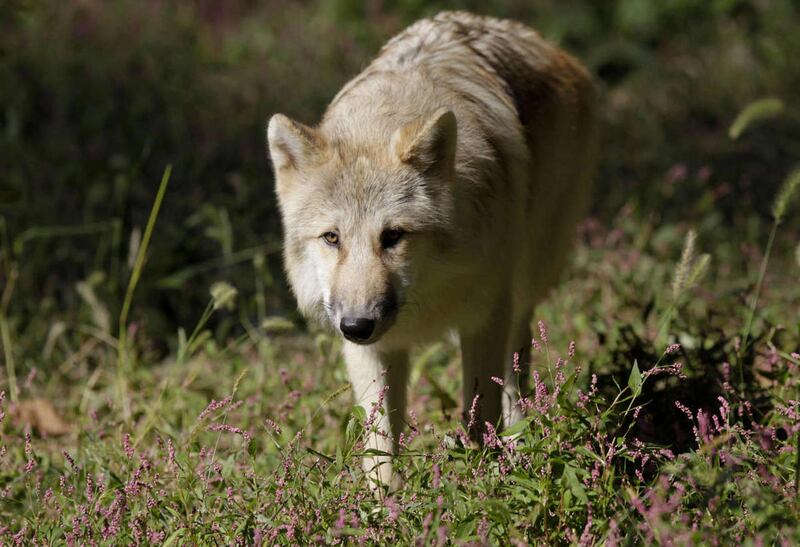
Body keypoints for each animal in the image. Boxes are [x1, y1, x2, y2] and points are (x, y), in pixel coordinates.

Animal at [267, 11, 597, 486]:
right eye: (332, 238)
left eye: (393, 236)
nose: (357, 325)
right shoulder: (371, 352)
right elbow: (381, 447)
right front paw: (386, 505)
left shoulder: (483, 319)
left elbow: (480, 417)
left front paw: (481, 485)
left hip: (523, 285)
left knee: (517, 368)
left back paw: (521, 439)